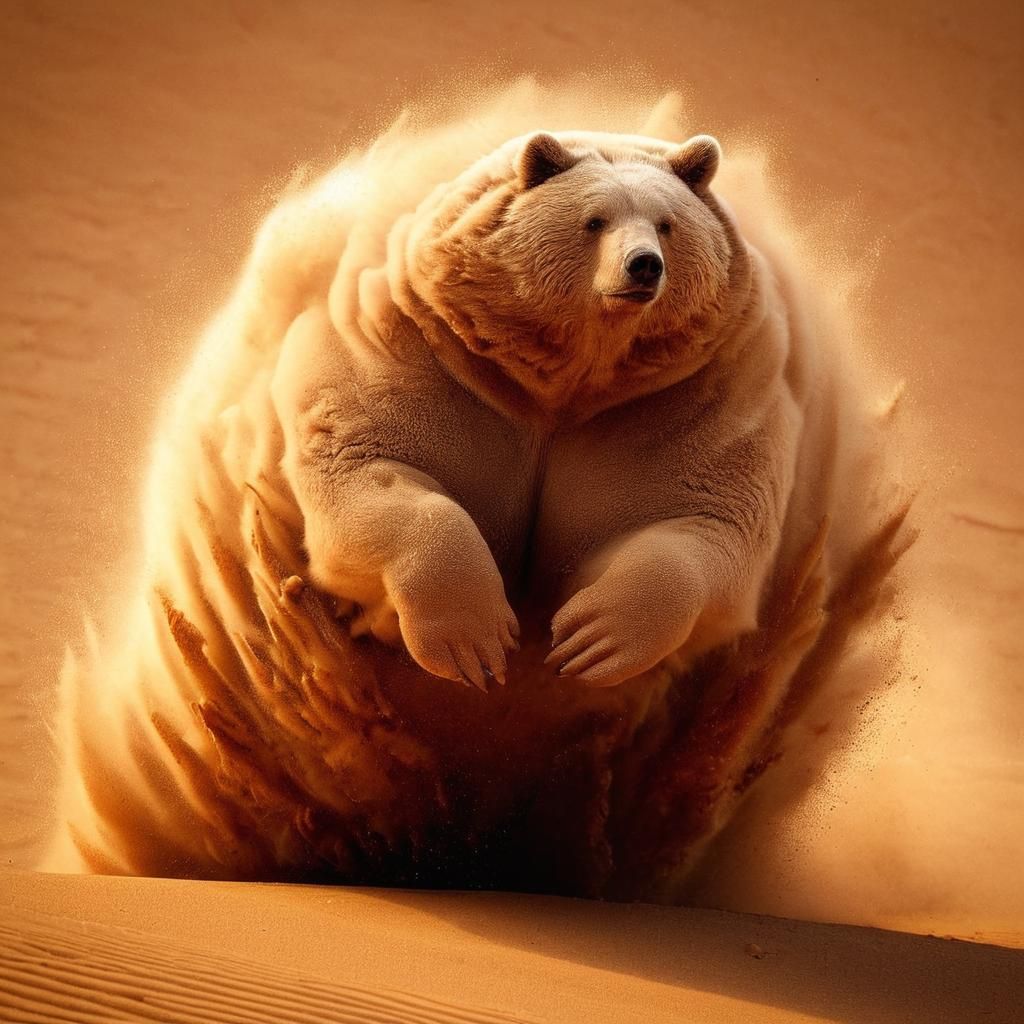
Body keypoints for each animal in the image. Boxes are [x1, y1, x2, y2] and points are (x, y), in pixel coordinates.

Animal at [44, 85, 905, 898]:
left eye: (667, 224)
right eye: (595, 219)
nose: (643, 269)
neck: (567, 388)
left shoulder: (691, 402)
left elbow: (701, 521)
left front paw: (589, 639)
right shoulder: (417, 351)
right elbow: (375, 471)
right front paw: (476, 640)